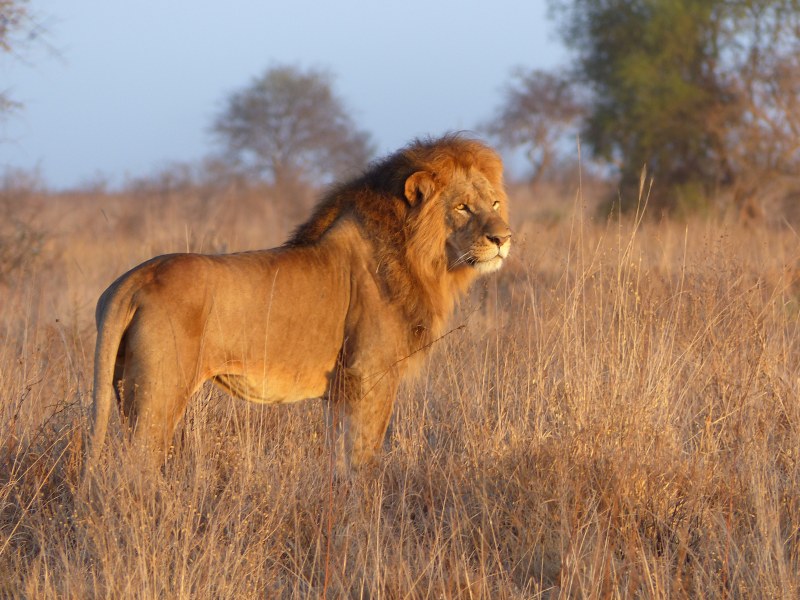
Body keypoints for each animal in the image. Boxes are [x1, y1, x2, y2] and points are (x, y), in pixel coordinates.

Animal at [84, 134, 511, 475]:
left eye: (493, 203)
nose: (503, 238)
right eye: (462, 207)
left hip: (123, 385)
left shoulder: (342, 392)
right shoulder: (369, 377)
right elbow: (363, 463)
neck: (419, 258)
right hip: (159, 394)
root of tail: (133, 279)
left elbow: (340, 461)